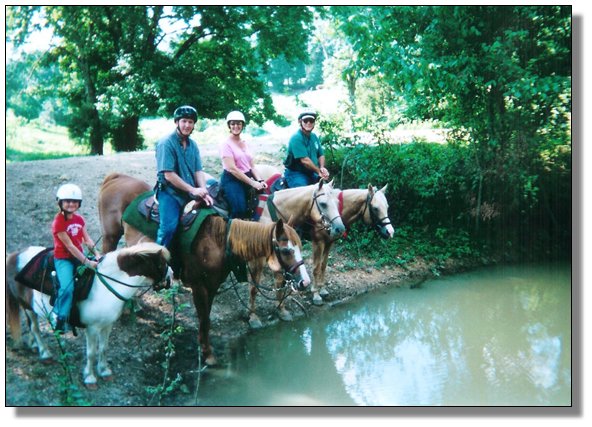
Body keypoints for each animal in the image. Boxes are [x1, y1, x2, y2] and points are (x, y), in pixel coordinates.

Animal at [5, 242, 173, 389]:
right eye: (161, 264)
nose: (171, 276)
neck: (104, 287)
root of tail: (14, 255)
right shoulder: (92, 328)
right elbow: (91, 353)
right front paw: (90, 378)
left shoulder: (107, 325)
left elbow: (104, 348)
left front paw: (104, 371)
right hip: (27, 306)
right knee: (35, 328)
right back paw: (45, 353)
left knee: (31, 327)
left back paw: (34, 345)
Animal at [98, 173, 311, 365]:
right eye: (286, 250)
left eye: (300, 247)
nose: (305, 282)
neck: (219, 243)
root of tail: (116, 178)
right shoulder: (199, 287)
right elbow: (204, 319)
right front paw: (208, 355)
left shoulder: (213, 285)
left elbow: (206, 318)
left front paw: (205, 349)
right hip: (110, 237)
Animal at [254, 165, 394, 305]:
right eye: (375, 208)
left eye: (387, 206)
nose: (390, 231)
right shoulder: (318, 242)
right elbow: (316, 267)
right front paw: (316, 294)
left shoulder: (329, 242)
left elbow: (323, 265)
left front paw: (322, 290)